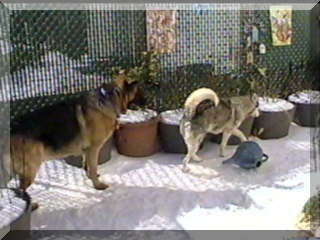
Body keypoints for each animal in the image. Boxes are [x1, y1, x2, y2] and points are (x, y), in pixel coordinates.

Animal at [3, 71, 144, 208]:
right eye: (137, 92)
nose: (145, 102)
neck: (108, 100)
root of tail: (10, 130)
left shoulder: (87, 151)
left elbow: (88, 166)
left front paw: (91, 177)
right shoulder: (93, 149)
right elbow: (93, 167)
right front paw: (97, 185)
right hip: (31, 168)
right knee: (20, 190)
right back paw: (30, 206)